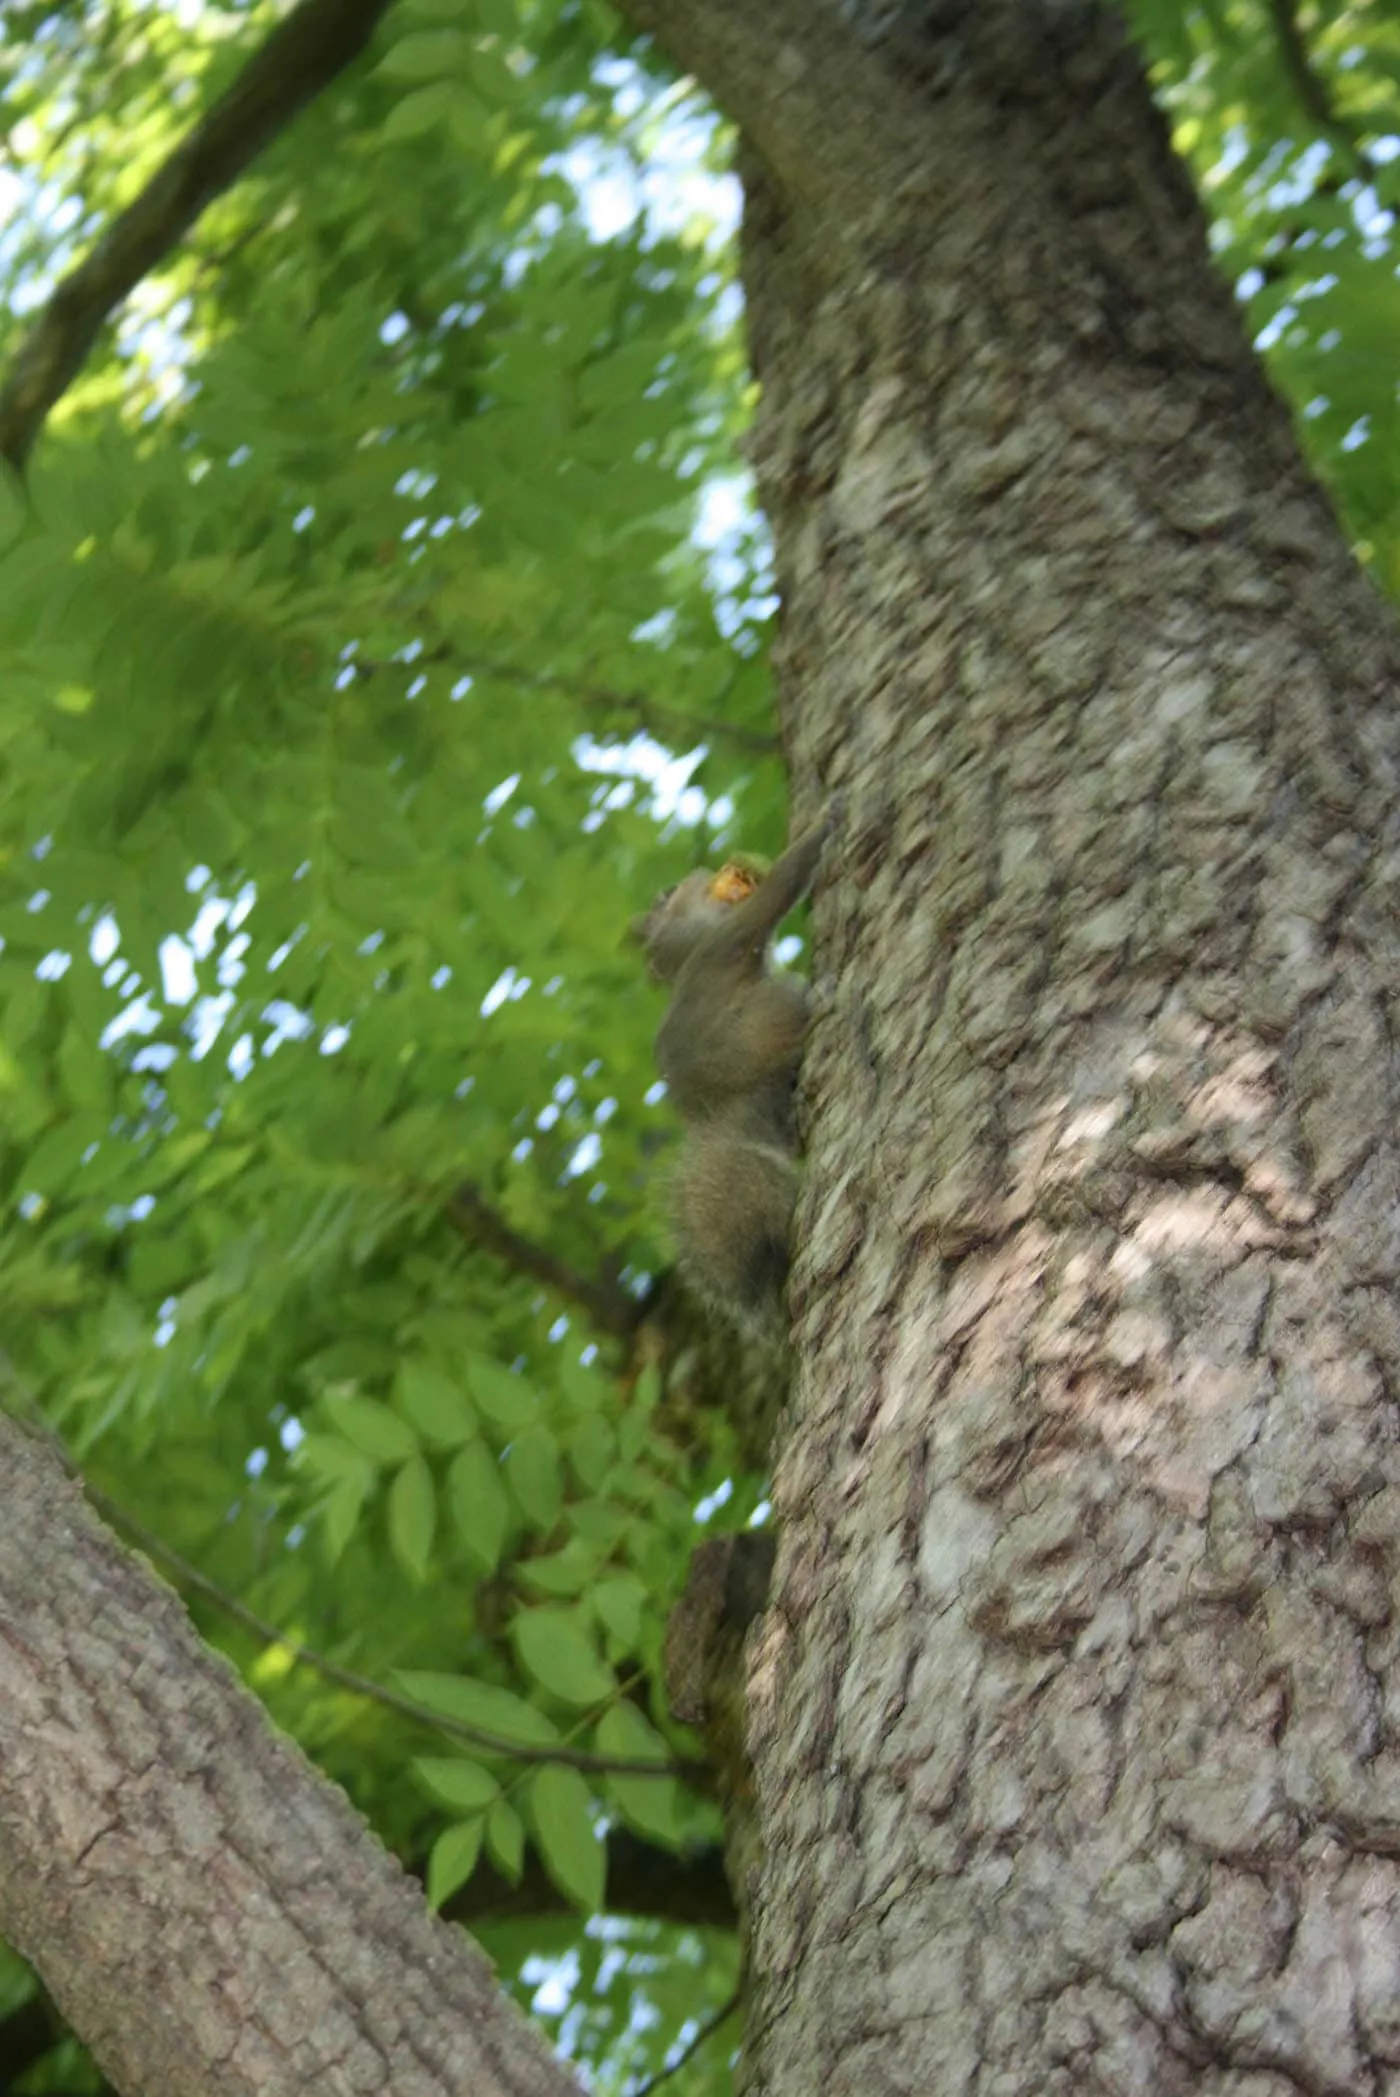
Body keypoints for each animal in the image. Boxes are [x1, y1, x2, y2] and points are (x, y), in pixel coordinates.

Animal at [637, 805, 838, 1325]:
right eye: (670, 894)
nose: (695, 875)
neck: (691, 948)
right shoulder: (728, 941)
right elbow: (776, 893)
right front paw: (825, 824)